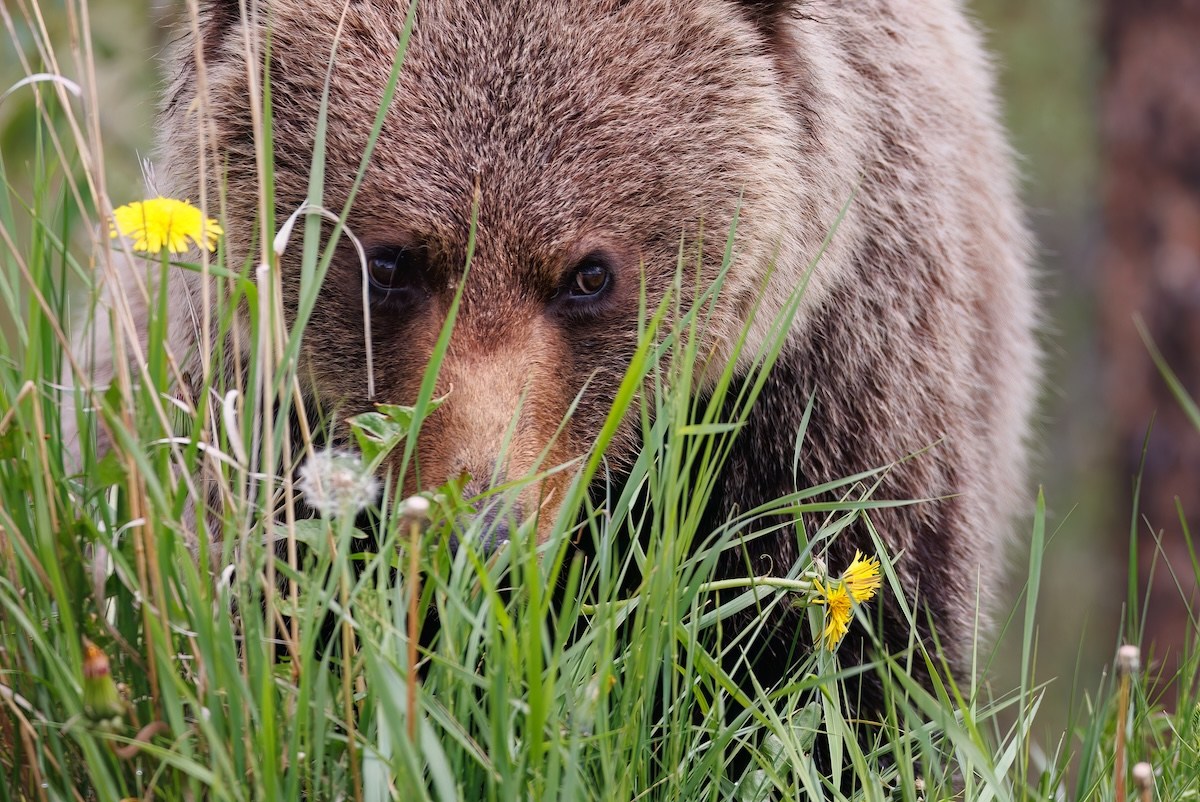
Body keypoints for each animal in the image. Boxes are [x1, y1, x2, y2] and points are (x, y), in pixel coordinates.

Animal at [86, 0, 1038, 769]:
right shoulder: (260, 423)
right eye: (390, 261)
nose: (482, 534)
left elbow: (830, 679)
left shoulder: (824, 401)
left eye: (588, 273)